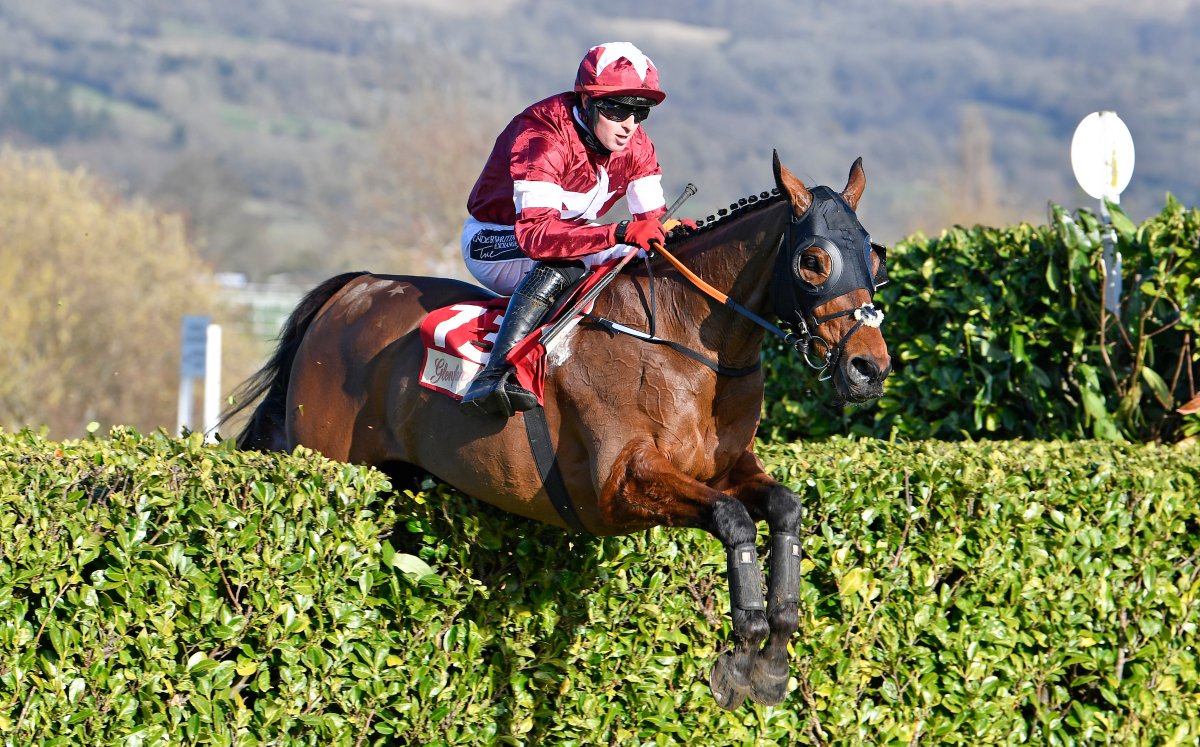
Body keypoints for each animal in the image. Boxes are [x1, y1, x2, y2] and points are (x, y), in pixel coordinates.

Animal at [222, 152, 891, 710]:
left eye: (875, 257)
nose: (869, 368)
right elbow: (732, 520)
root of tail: (352, 288)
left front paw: (773, 658)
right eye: (813, 261)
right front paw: (743, 658)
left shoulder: (728, 469)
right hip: (328, 459)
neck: (687, 343)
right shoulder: (619, 485)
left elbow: (784, 507)